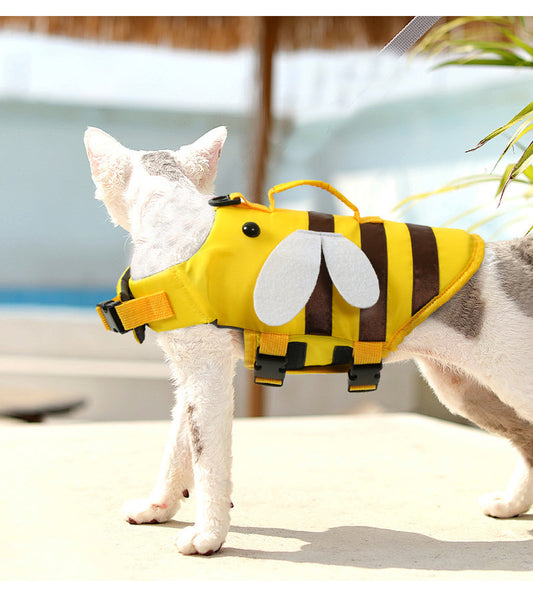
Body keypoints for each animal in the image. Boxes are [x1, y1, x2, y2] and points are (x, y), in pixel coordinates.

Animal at [83, 126, 532, 552]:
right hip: (463, 390)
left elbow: (207, 459)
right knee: (528, 440)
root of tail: (514, 252)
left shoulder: (207, 375)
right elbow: (177, 448)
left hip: (512, 381)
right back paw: (513, 504)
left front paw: (208, 535)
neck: (178, 218)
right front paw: (158, 506)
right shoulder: (192, 373)